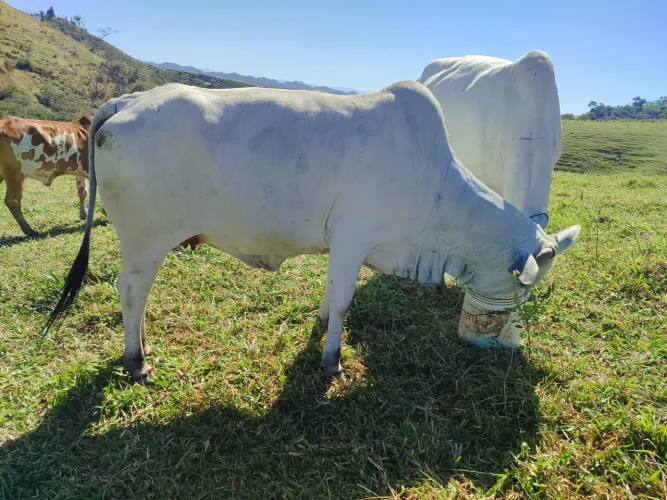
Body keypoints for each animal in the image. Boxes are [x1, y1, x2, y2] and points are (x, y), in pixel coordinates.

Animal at [43, 81, 580, 385]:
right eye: (522, 286)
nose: (504, 345)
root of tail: (131, 100)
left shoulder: (341, 246)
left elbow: (330, 297)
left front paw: (321, 328)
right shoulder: (354, 236)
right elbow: (343, 302)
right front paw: (331, 362)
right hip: (145, 242)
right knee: (132, 294)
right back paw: (137, 361)